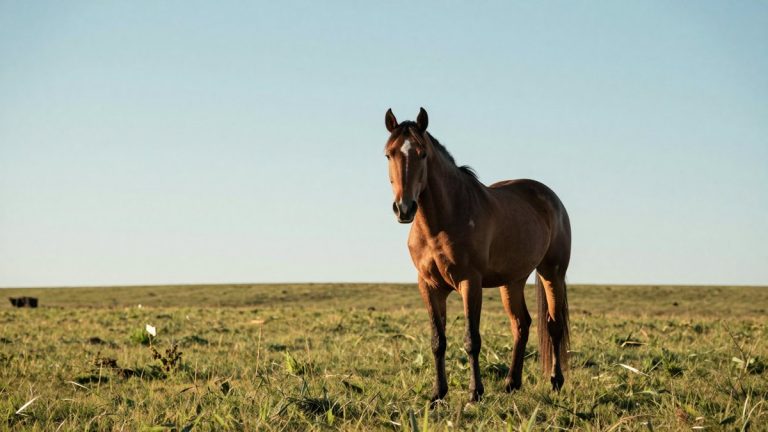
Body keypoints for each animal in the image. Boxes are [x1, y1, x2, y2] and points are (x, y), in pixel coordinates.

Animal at [383, 108, 572, 403]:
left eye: (422, 153)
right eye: (389, 154)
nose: (404, 208)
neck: (442, 221)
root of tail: (551, 199)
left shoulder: (469, 282)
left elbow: (472, 339)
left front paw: (475, 393)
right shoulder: (429, 286)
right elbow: (437, 341)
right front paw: (438, 394)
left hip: (552, 272)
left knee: (554, 325)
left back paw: (555, 381)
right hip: (512, 281)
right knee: (521, 324)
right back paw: (511, 383)